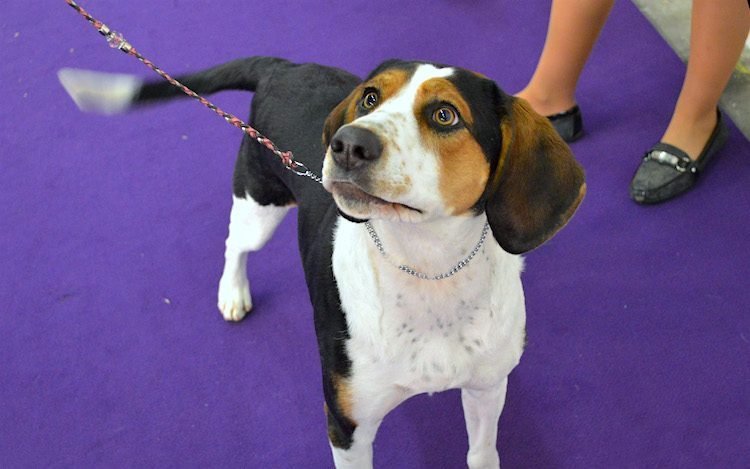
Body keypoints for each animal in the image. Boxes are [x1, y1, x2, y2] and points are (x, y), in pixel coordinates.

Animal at [58, 57, 588, 468]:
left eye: (445, 114)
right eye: (371, 98)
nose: (349, 143)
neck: (426, 267)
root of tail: (283, 67)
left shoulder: (487, 388)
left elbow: (481, 452)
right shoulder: (347, 425)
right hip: (259, 203)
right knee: (235, 246)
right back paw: (233, 293)